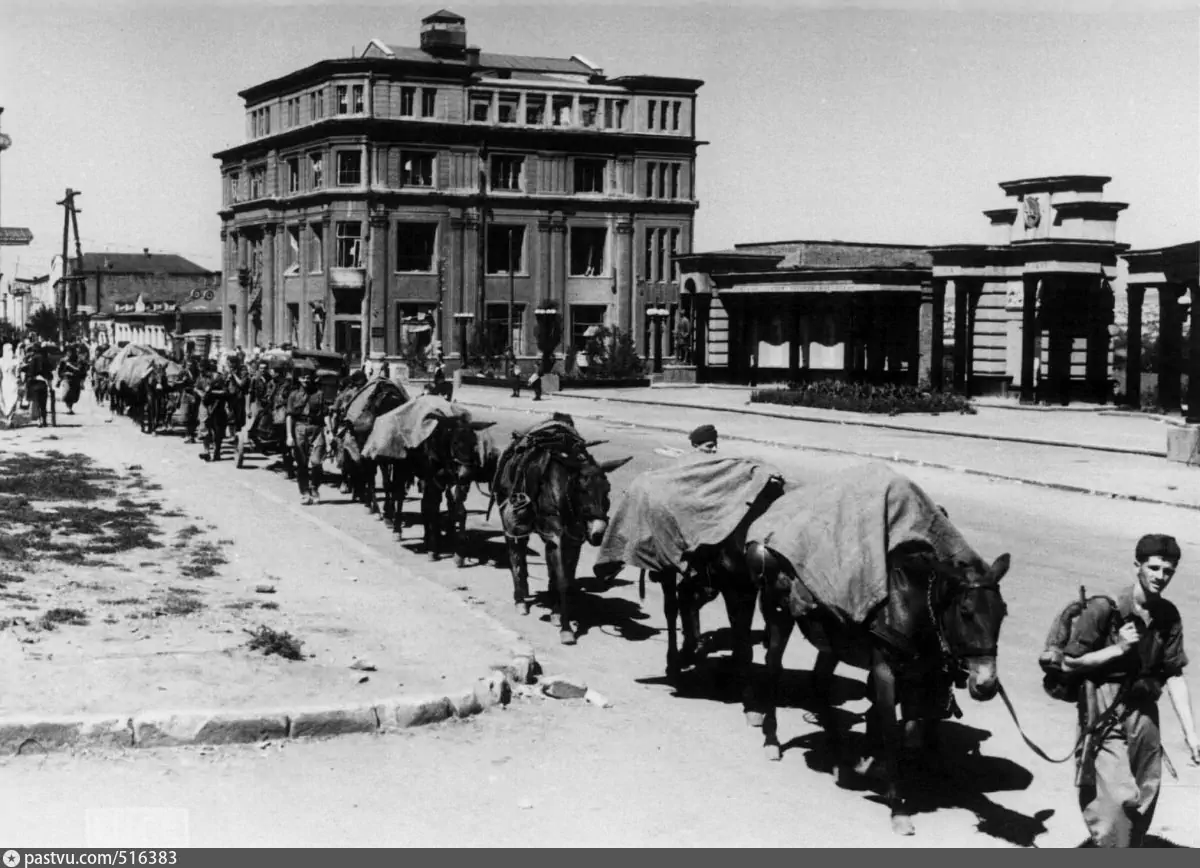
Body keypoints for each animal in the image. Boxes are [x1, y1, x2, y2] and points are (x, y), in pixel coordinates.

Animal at [492, 421, 631, 645]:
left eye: (608, 489)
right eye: (581, 489)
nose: (598, 532)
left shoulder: (573, 541)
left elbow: (565, 577)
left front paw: (557, 613)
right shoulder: (556, 538)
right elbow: (562, 581)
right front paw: (566, 629)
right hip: (511, 518)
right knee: (516, 555)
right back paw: (520, 600)